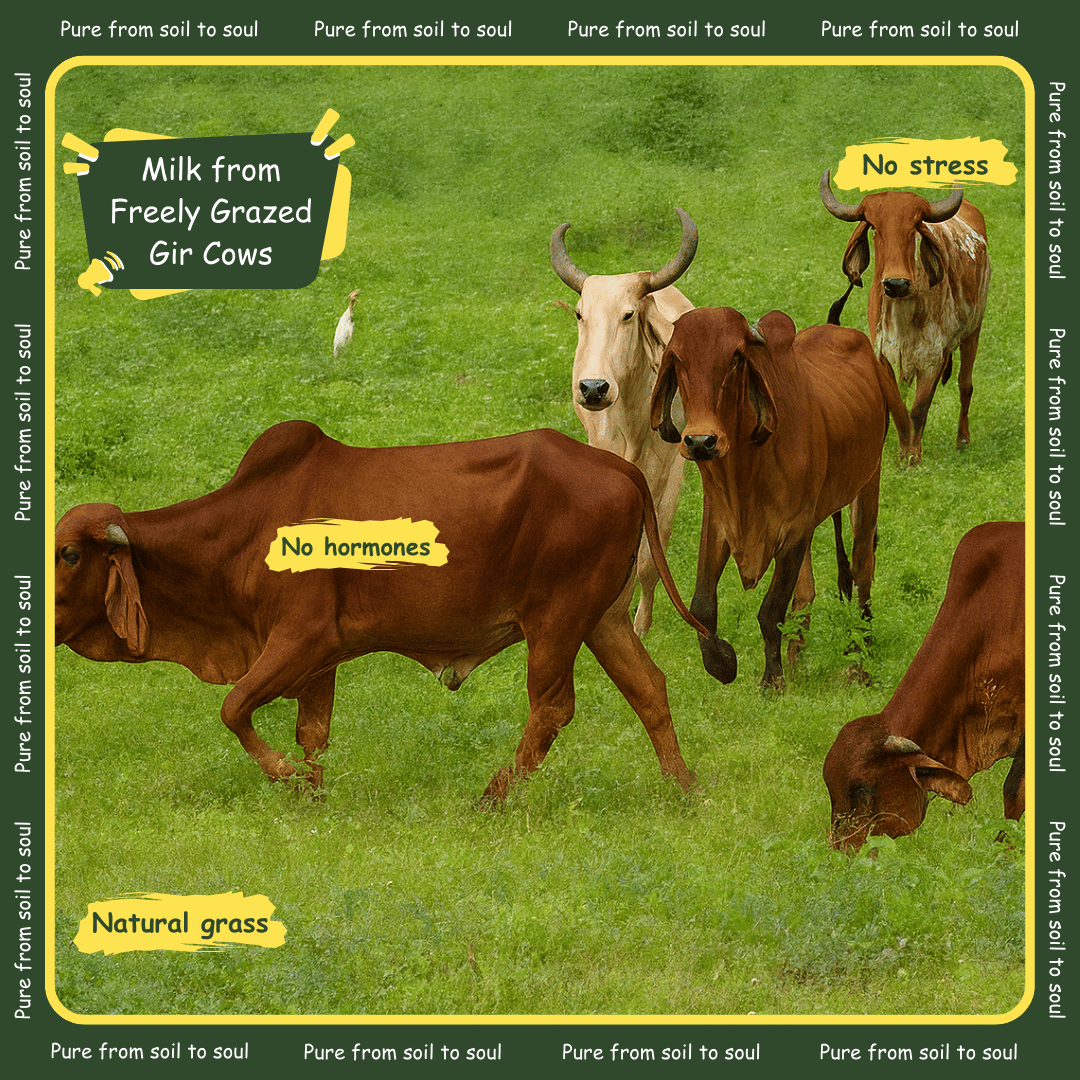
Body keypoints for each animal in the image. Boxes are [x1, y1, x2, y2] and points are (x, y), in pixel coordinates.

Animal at [55, 422, 707, 802]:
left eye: (69, 553)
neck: (240, 531)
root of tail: (618, 466)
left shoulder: (299, 637)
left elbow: (234, 708)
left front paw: (287, 779)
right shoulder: (319, 658)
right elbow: (312, 733)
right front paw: (313, 796)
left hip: (557, 620)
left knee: (552, 708)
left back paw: (494, 796)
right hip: (603, 619)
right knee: (649, 688)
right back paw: (683, 788)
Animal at [550, 208, 697, 638]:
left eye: (628, 314)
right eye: (580, 314)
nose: (593, 388)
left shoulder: (668, 475)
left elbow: (651, 561)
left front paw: (640, 626)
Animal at [650, 306, 912, 690]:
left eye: (735, 358)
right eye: (678, 359)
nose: (701, 441)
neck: (747, 464)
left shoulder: (795, 529)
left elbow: (770, 611)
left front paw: (772, 682)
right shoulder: (718, 523)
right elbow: (702, 607)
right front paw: (724, 662)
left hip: (868, 483)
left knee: (863, 567)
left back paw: (859, 656)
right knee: (806, 592)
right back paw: (797, 659)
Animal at [820, 169, 991, 464]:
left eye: (913, 228)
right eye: (875, 228)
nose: (896, 282)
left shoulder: (934, 355)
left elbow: (919, 409)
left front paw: (914, 457)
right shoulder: (882, 353)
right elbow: (899, 408)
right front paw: (902, 454)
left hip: (973, 330)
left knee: (965, 384)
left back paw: (963, 439)